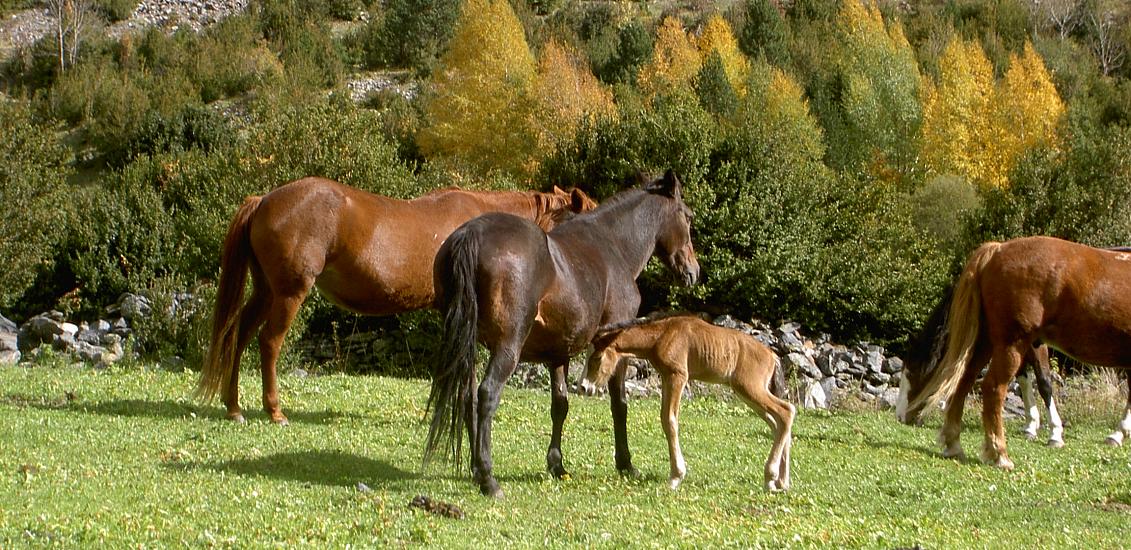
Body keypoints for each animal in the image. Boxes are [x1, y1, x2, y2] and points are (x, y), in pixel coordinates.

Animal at [197, 178, 597, 423]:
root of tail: (265, 200)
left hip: (265, 291)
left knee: (239, 336)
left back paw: (233, 406)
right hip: (288, 294)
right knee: (269, 342)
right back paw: (274, 410)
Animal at [420, 169, 692, 495]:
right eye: (688, 217)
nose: (693, 271)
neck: (611, 246)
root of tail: (472, 235)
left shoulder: (558, 353)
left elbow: (559, 405)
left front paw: (556, 465)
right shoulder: (615, 347)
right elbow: (619, 404)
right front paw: (626, 464)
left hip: (469, 346)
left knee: (468, 398)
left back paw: (476, 470)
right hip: (506, 348)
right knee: (486, 395)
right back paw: (488, 478)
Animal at [583, 316, 796, 491]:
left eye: (597, 357)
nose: (584, 387)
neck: (662, 335)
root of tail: (773, 356)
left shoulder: (678, 376)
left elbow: (670, 420)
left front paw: (676, 477)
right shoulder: (667, 377)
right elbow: (665, 418)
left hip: (751, 389)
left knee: (786, 411)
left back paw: (770, 478)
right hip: (747, 393)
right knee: (777, 423)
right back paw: (782, 482)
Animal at [895, 235, 1131, 468]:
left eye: (912, 372)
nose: (900, 416)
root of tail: (995, 251)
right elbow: (1041, 383)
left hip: (986, 343)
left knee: (964, 382)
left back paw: (955, 445)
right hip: (1009, 344)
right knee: (993, 388)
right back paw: (999, 454)